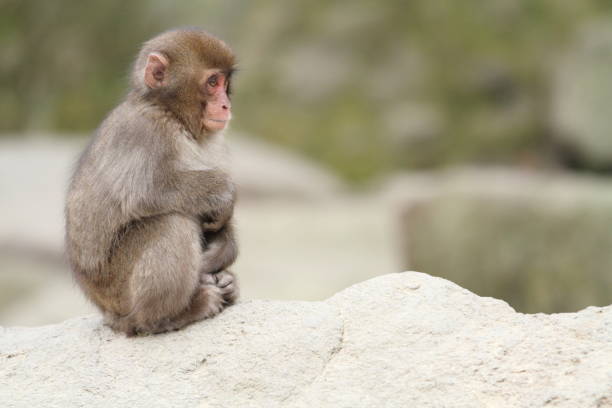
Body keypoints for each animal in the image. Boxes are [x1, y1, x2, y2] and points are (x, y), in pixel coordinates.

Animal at [64, 27, 240, 334]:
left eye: (225, 82)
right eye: (212, 82)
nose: (225, 105)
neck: (169, 113)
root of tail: (109, 313)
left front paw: (223, 249)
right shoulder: (144, 132)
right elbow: (144, 192)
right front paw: (224, 192)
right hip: (119, 288)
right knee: (171, 222)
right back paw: (170, 315)